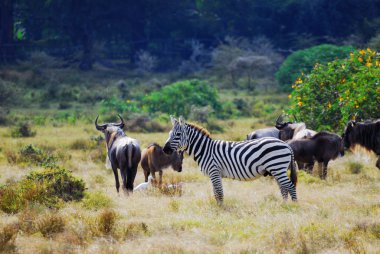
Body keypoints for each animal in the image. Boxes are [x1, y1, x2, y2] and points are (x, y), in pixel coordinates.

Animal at [163, 116, 296, 203]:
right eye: (169, 134)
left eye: (178, 134)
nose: (165, 150)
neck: (205, 150)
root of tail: (286, 144)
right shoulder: (213, 174)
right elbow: (216, 193)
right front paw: (219, 208)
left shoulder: (214, 171)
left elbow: (219, 193)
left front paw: (221, 210)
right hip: (276, 169)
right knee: (283, 188)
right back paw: (283, 205)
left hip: (278, 167)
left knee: (290, 186)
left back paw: (294, 205)